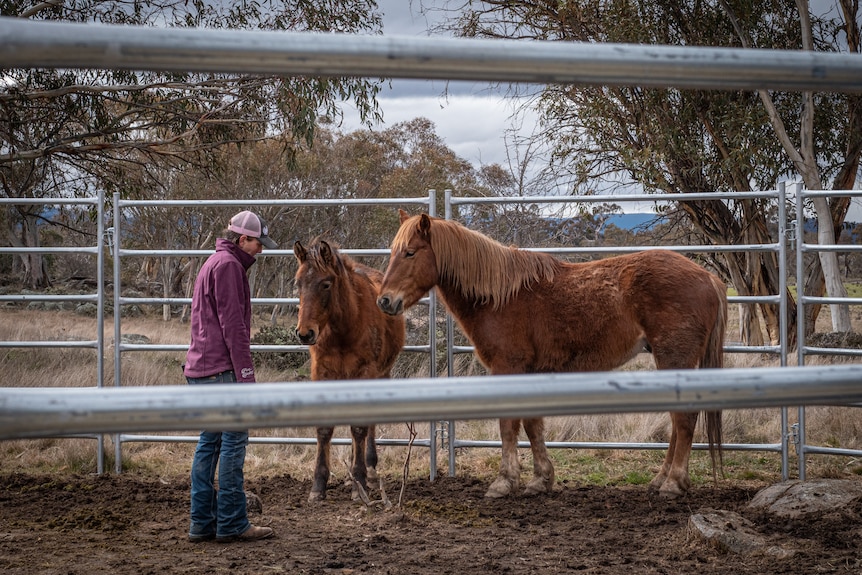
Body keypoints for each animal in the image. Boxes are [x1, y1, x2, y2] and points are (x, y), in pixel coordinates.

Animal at [296, 236, 406, 502]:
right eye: (298, 283)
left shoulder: (365, 372)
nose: (305, 333)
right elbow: (325, 429)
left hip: (381, 374)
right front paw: (318, 486)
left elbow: (359, 427)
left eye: (325, 284)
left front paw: (360, 482)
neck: (344, 329)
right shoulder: (322, 373)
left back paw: (370, 470)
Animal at [378, 210, 728, 500]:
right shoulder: (530, 372)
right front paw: (540, 480)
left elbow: (508, 425)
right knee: (677, 421)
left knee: (684, 420)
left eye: (410, 252)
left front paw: (504, 482)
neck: (500, 297)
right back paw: (660, 480)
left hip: (674, 357)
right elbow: (533, 424)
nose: (385, 301)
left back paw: (673, 483)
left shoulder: (508, 368)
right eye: (394, 252)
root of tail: (708, 277)